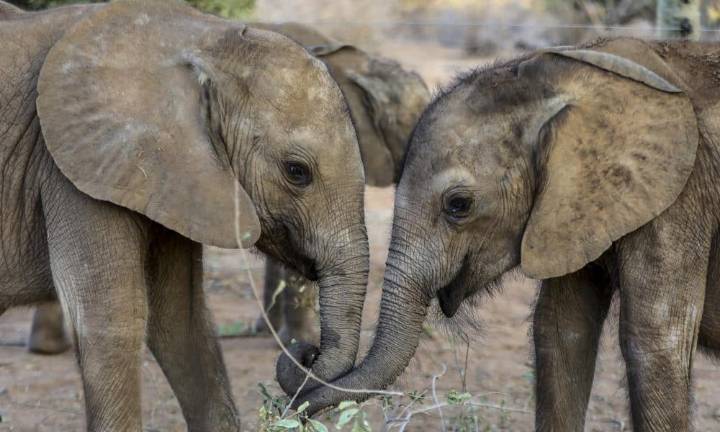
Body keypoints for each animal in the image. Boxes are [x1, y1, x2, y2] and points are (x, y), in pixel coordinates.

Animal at [0, 0, 370, 430]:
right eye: (297, 172)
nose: (305, 352)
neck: (201, 39)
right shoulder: (72, 168)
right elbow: (114, 320)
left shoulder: (172, 180)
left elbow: (181, 322)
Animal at [278, 37, 720, 431]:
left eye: (458, 204)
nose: (306, 352)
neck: (566, 73)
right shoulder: (571, 210)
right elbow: (561, 332)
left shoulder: (680, 196)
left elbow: (653, 342)